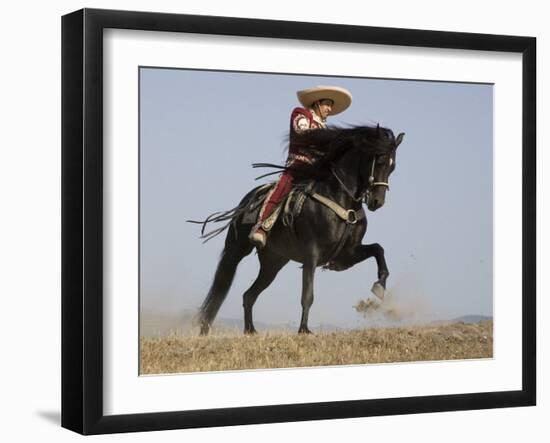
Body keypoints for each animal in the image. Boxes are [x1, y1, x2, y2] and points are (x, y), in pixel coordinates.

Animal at [193, 123, 406, 334]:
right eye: (380, 160)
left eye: (393, 167)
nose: (377, 202)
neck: (341, 200)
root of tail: (247, 201)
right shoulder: (311, 254)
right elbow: (308, 294)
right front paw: (304, 330)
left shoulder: (348, 254)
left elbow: (378, 249)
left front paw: (380, 285)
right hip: (237, 250)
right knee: (223, 284)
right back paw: (208, 328)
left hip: (273, 263)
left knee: (249, 295)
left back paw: (250, 331)